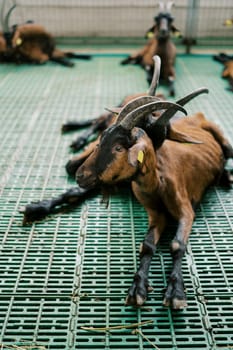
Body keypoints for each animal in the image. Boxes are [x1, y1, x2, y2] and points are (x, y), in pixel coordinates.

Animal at [76, 80, 233, 308]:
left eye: (118, 148)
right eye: (101, 139)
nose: (80, 175)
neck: (158, 183)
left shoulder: (186, 210)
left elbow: (177, 244)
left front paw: (176, 293)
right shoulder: (156, 214)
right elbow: (148, 245)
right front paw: (138, 288)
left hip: (225, 144)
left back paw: (227, 176)